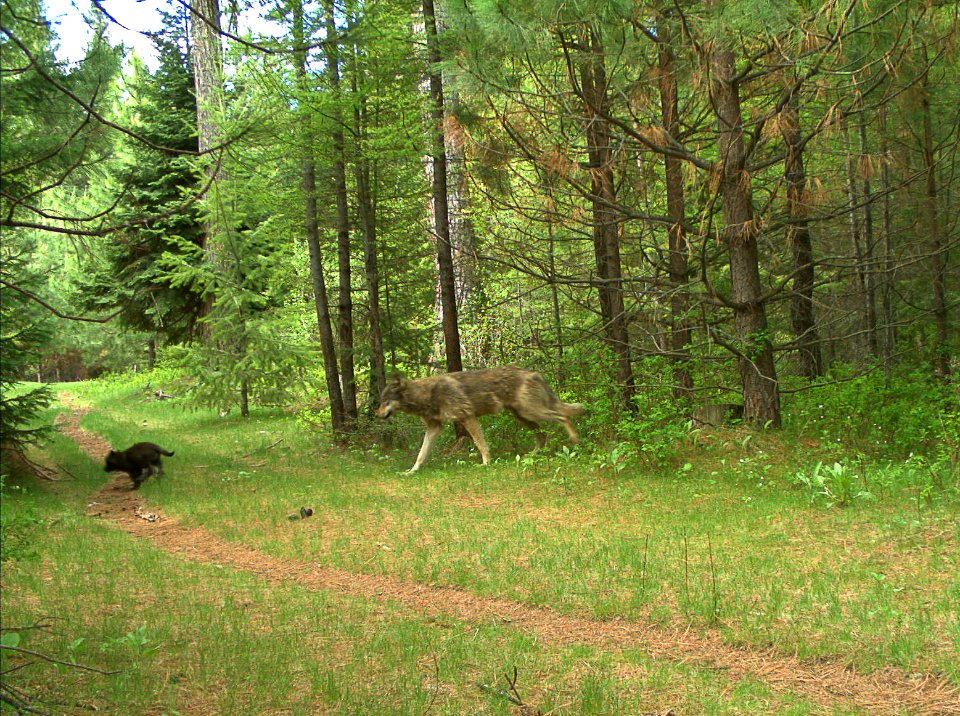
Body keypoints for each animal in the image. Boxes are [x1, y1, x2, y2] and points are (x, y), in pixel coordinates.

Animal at [376, 366, 584, 472]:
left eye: (384, 402)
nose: (375, 415)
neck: (426, 394)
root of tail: (535, 373)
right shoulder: (434, 428)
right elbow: (421, 454)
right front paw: (411, 471)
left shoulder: (467, 417)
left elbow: (481, 445)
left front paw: (486, 463)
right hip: (523, 416)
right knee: (542, 435)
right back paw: (531, 456)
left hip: (531, 412)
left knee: (563, 416)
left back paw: (575, 439)